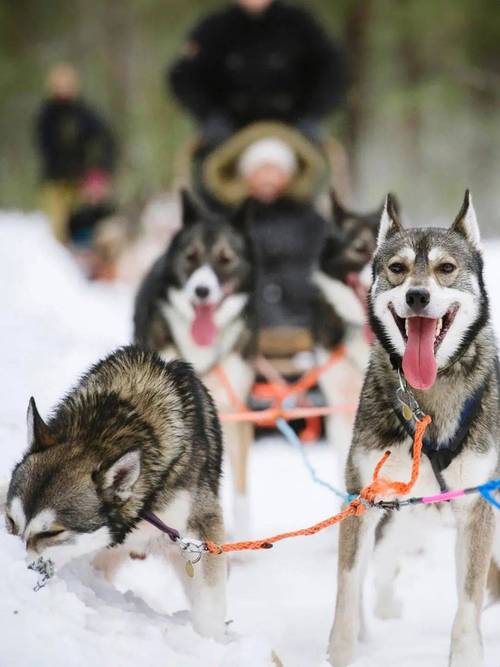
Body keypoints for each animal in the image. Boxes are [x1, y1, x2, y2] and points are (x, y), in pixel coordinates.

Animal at [3, 348, 227, 640]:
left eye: (52, 532)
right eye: (10, 521)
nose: (17, 573)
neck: (103, 432)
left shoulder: (198, 529)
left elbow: (209, 601)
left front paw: (212, 640)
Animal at [328, 190, 500, 667]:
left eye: (446, 268)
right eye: (397, 268)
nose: (418, 296)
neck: (429, 395)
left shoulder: (477, 507)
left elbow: (468, 602)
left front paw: (467, 652)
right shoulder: (363, 498)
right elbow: (348, 586)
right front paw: (343, 648)